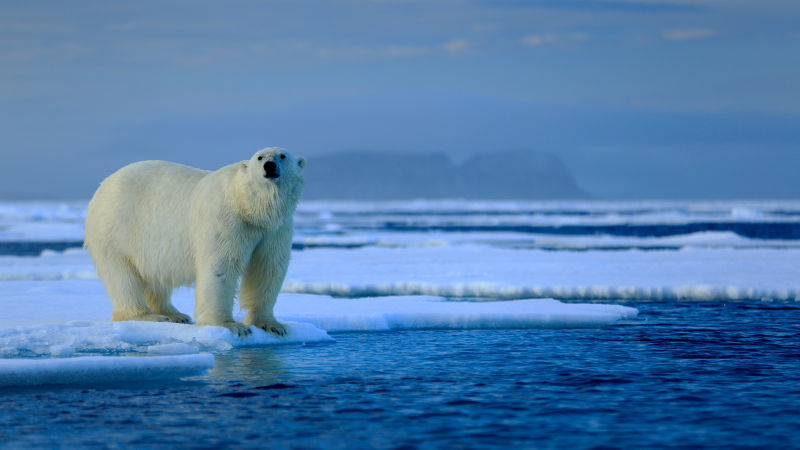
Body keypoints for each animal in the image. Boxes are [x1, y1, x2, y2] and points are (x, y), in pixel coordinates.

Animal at [83, 149, 304, 336]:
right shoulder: (225, 218)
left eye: (282, 155)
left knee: (155, 277)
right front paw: (231, 325)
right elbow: (221, 266)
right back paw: (148, 316)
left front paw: (272, 325)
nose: (269, 165)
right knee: (122, 276)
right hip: (115, 230)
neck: (248, 206)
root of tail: (103, 186)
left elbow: (267, 268)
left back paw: (175, 314)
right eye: (259, 157)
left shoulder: (275, 229)